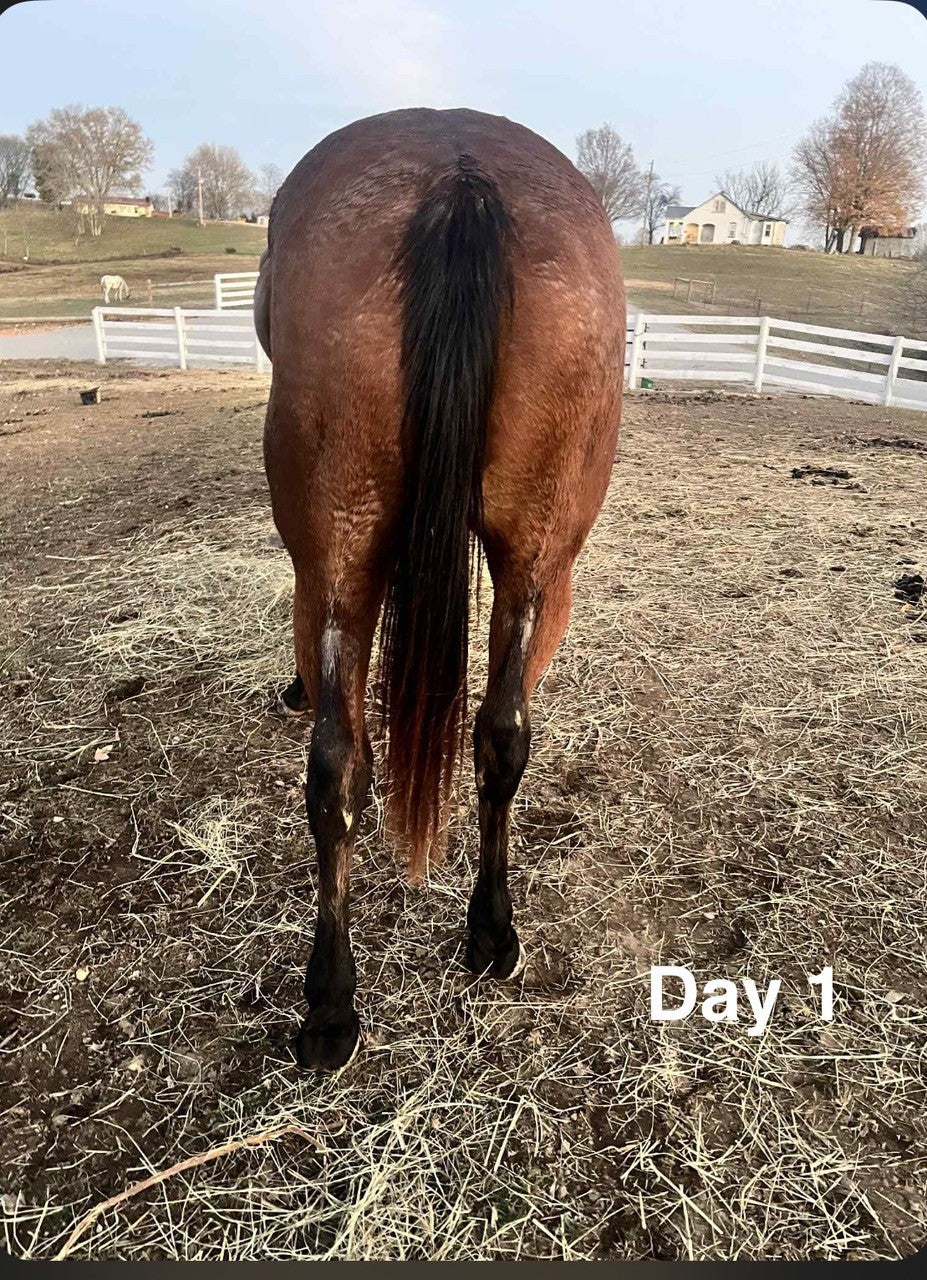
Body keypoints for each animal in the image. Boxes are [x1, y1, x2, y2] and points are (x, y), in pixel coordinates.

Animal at [255, 107, 625, 1071]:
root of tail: (458, 175)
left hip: (340, 549)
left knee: (335, 765)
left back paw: (331, 1000)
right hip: (540, 558)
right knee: (497, 738)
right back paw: (487, 933)